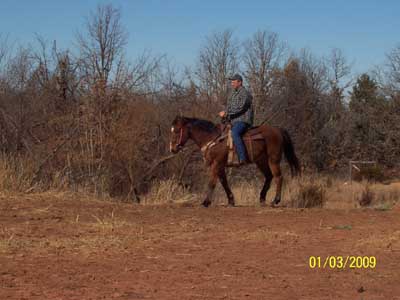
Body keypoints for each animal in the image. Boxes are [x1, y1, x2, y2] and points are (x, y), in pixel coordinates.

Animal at [169, 116, 300, 207]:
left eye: (177, 131)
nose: (172, 149)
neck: (213, 139)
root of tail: (278, 130)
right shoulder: (220, 166)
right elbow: (224, 182)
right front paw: (231, 200)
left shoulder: (216, 164)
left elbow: (212, 183)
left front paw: (206, 202)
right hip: (261, 161)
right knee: (269, 176)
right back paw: (262, 199)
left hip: (273, 160)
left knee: (278, 177)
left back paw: (275, 200)